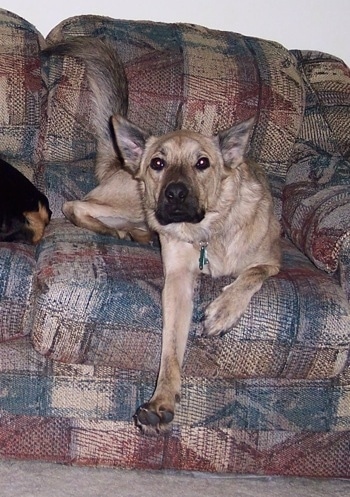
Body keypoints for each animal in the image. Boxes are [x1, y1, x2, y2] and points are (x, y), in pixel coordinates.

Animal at [43, 37, 280, 430]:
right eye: (159, 162)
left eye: (203, 163)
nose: (175, 194)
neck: (206, 231)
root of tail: (124, 161)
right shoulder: (178, 281)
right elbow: (170, 350)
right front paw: (162, 400)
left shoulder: (273, 261)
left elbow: (252, 274)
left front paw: (223, 310)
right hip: (134, 201)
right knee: (76, 206)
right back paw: (127, 233)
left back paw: (136, 235)